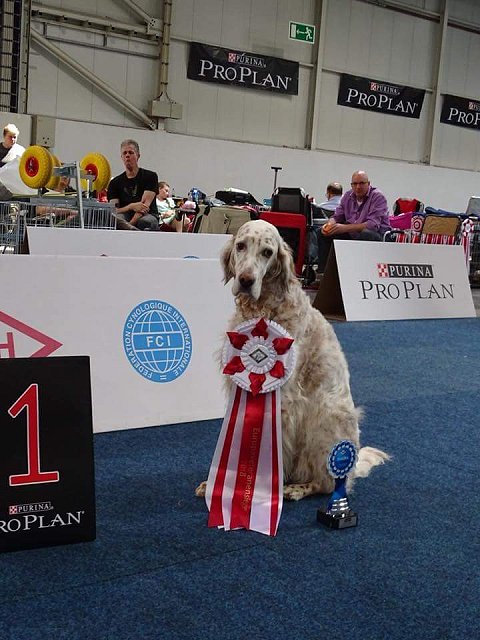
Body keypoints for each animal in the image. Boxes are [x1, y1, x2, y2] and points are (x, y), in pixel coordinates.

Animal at [196, 219, 389, 501]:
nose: (246, 280)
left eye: (267, 252)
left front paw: (260, 489)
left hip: (325, 421)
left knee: (325, 483)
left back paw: (296, 489)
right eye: (241, 246)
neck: (264, 310)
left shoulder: (284, 398)